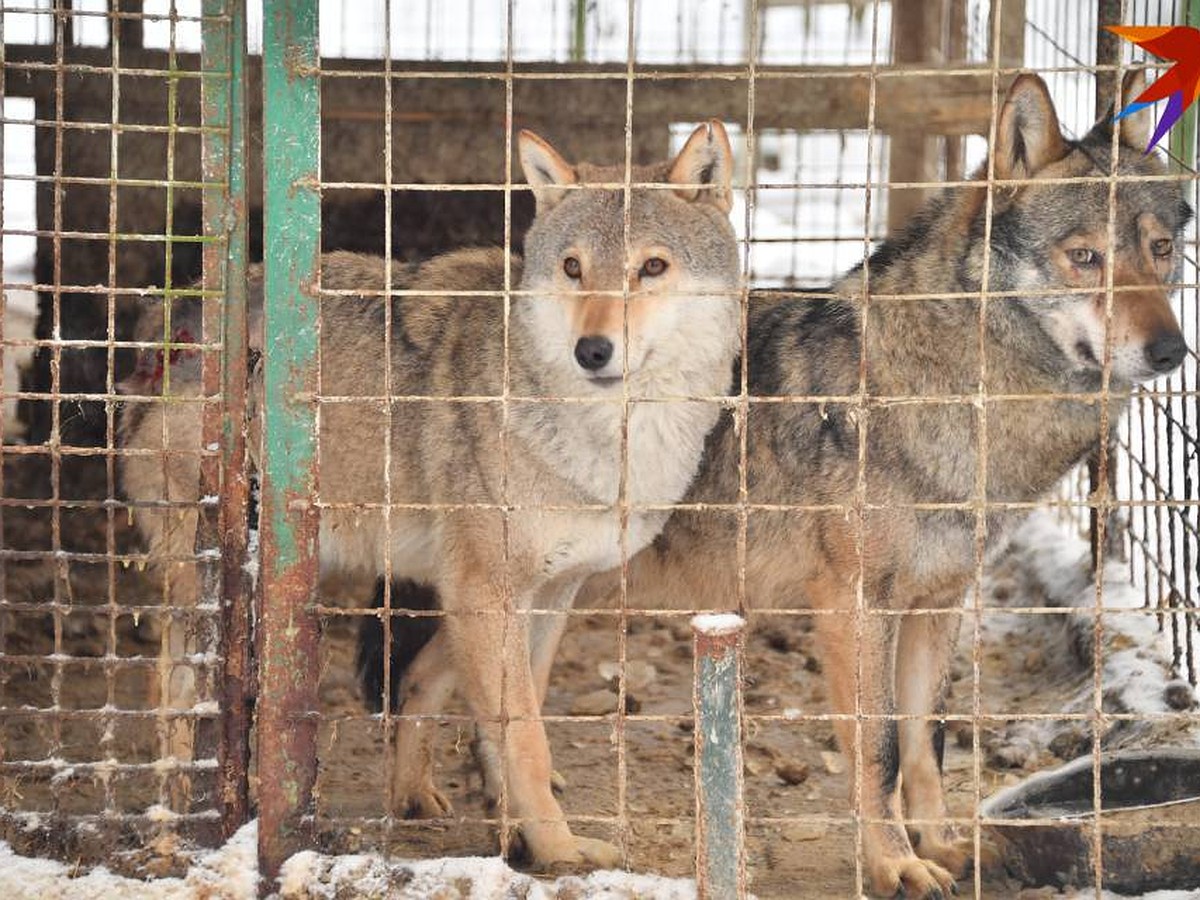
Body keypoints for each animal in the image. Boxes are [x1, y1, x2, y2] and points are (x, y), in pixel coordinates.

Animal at [119, 121, 739, 873]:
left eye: (652, 267)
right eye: (572, 268)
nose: (592, 350)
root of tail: (176, 311)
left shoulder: (548, 592)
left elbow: (504, 714)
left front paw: (510, 831)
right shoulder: (485, 588)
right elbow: (523, 737)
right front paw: (558, 849)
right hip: (218, 578)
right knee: (169, 687)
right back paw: (171, 828)